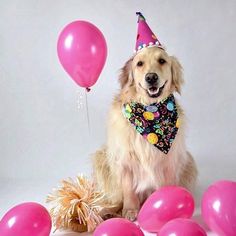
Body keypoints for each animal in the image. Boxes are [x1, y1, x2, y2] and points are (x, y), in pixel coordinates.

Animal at [92, 45, 197, 221]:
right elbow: (128, 189)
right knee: (115, 200)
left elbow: (166, 187)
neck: (150, 111)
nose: (151, 77)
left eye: (162, 60)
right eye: (139, 63)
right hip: (102, 157)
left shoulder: (170, 160)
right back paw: (106, 211)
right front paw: (130, 210)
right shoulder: (125, 160)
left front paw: (166, 206)